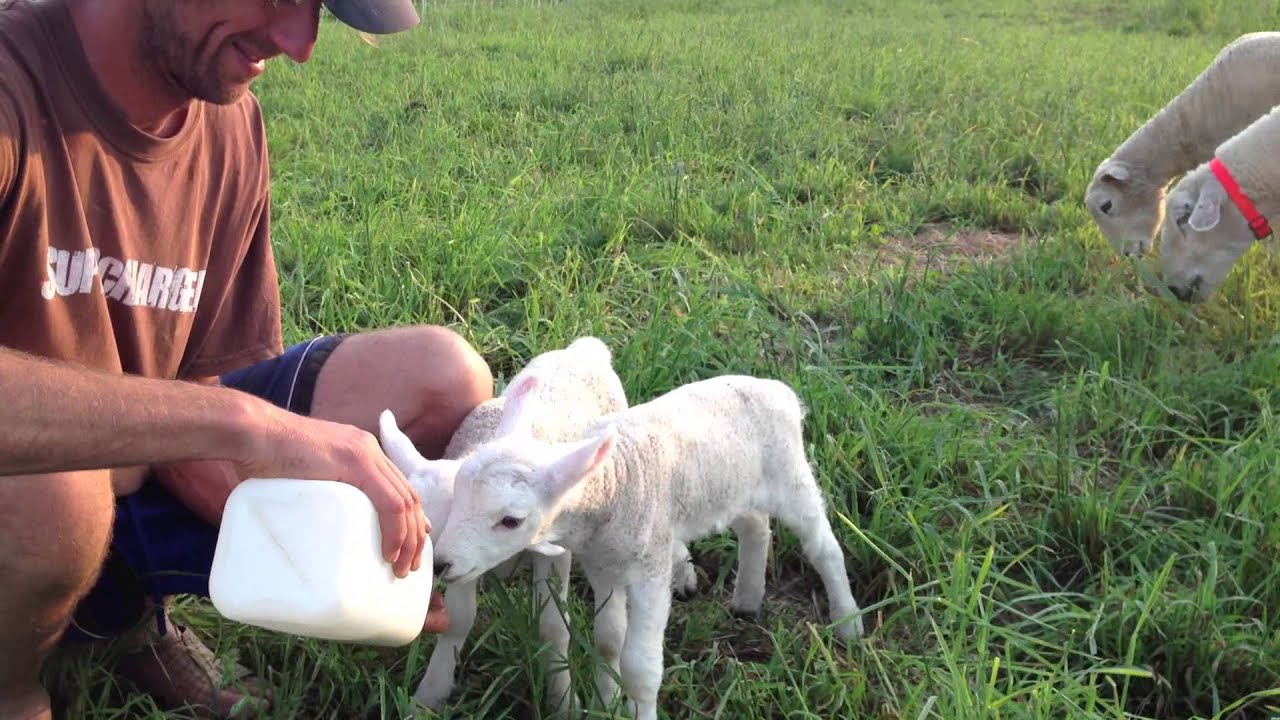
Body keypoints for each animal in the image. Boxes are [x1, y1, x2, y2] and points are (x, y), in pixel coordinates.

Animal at [377, 336, 697, 717]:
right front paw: (430, 695)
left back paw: (683, 568)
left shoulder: (555, 551)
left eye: (511, 520)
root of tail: (584, 348)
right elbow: (459, 620)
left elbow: (553, 628)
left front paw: (563, 702)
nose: (438, 568)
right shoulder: (467, 566)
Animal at [429, 371, 866, 720]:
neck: (613, 482)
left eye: (511, 521)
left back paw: (848, 621)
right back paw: (747, 600)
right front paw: (605, 704)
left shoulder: (650, 570)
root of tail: (777, 389)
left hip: (790, 476)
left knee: (823, 547)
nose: (440, 564)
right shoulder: (603, 565)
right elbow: (608, 641)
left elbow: (640, 667)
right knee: (755, 526)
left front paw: (634, 706)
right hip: (731, 486)